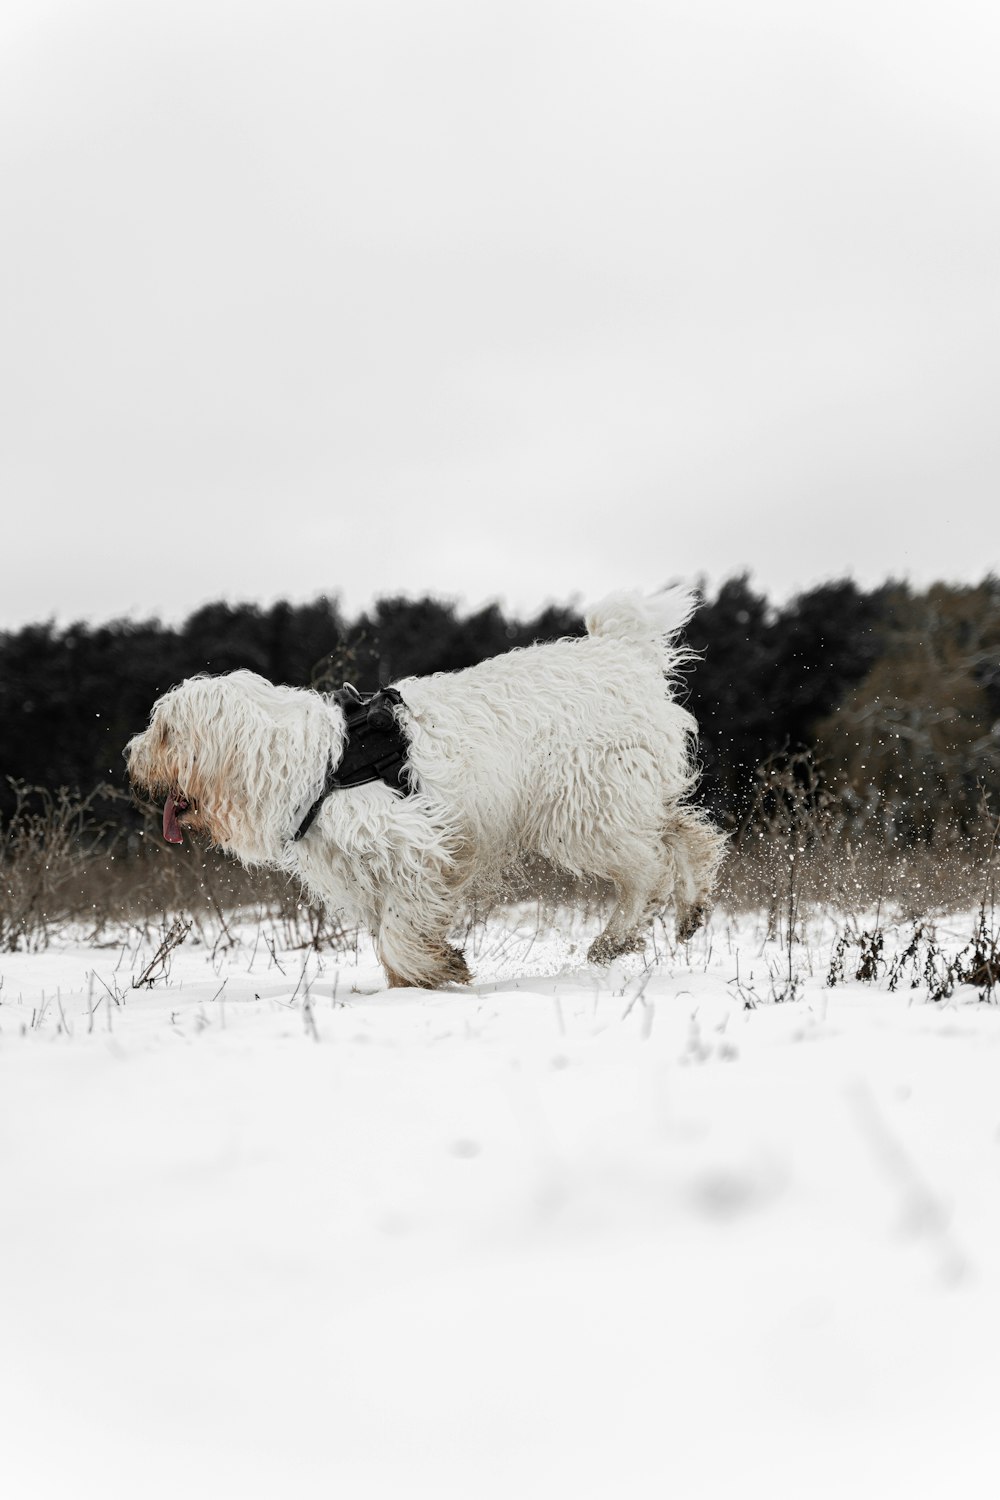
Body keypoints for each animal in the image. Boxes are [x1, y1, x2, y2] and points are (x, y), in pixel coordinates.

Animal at [127, 591, 728, 990]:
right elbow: (388, 933)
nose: (130, 756)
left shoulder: (413, 847)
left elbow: (400, 926)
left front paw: (435, 970)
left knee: (648, 868)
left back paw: (617, 936)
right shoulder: (365, 871)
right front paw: (412, 981)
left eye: (163, 731)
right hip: (622, 796)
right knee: (686, 833)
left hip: (585, 806)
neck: (317, 760)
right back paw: (692, 907)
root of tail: (622, 655)